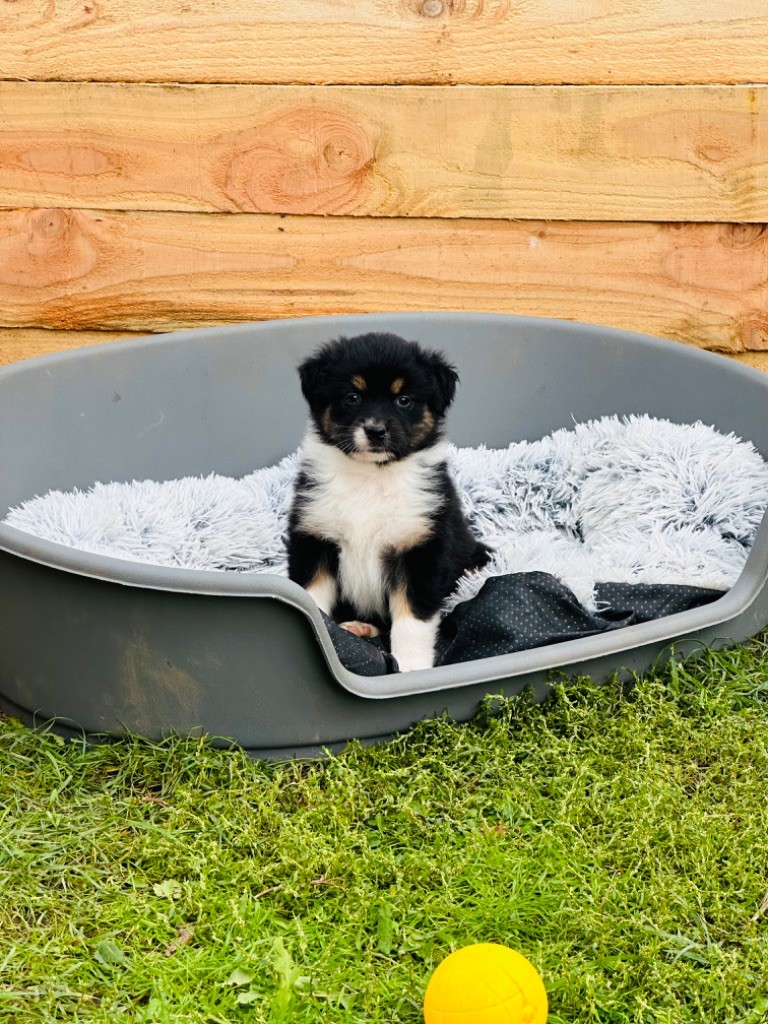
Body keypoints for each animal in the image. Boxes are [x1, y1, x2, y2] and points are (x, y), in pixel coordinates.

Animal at [286, 331, 489, 675]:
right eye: (352, 397)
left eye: (403, 400)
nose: (376, 430)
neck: (373, 475)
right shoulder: (315, 538)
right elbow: (313, 600)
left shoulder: (420, 549)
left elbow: (412, 620)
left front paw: (411, 669)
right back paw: (358, 627)